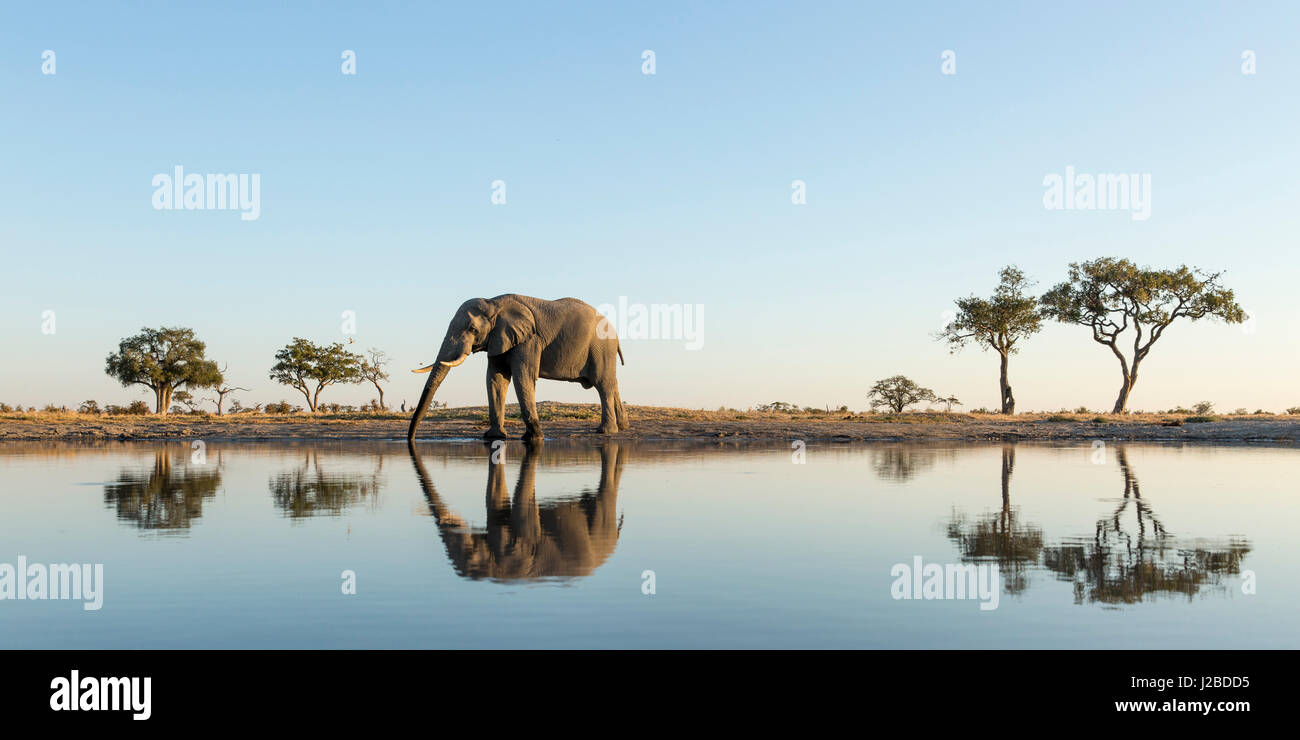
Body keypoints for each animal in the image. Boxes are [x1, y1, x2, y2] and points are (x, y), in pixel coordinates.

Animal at [407, 294, 628, 441]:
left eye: (472, 329)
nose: (411, 440)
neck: (493, 303)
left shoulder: (528, 340)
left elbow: (523, 376)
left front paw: (533, 438)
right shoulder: (498, 339)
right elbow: (495, 378)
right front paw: (494, 437)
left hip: (601, 347)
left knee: (603, 385)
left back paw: (605, 431)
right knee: (612, 384)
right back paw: (623, 426)